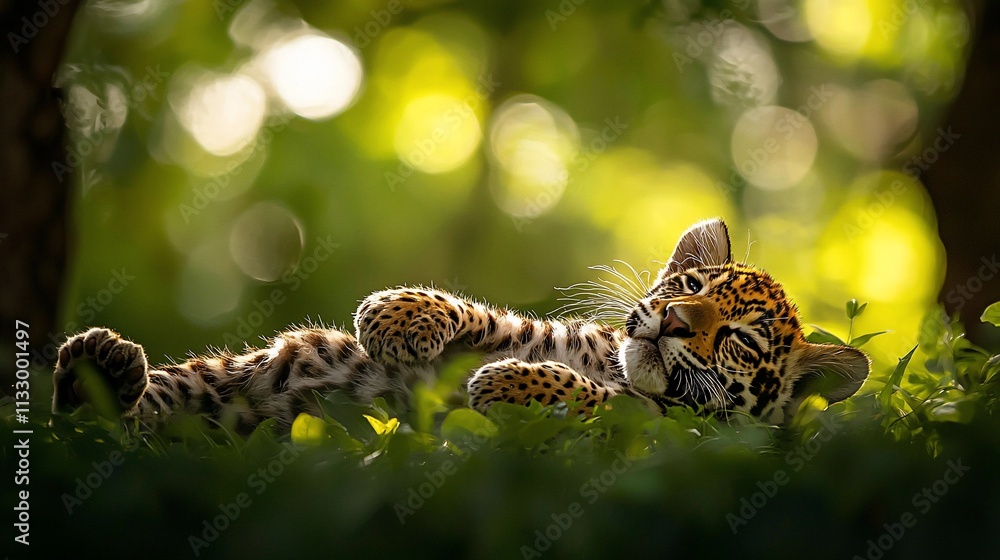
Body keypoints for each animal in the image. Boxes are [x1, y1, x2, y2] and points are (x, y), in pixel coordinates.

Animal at [51, 218, 870, 432]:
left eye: (738, 339)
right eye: (690, 286)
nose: (670, 319)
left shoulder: (674, 436)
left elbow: (610, 402)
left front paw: (504, 386)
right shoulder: (550, 334)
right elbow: (486, 315)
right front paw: (394, 317)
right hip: (223, 378)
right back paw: (101, 369)